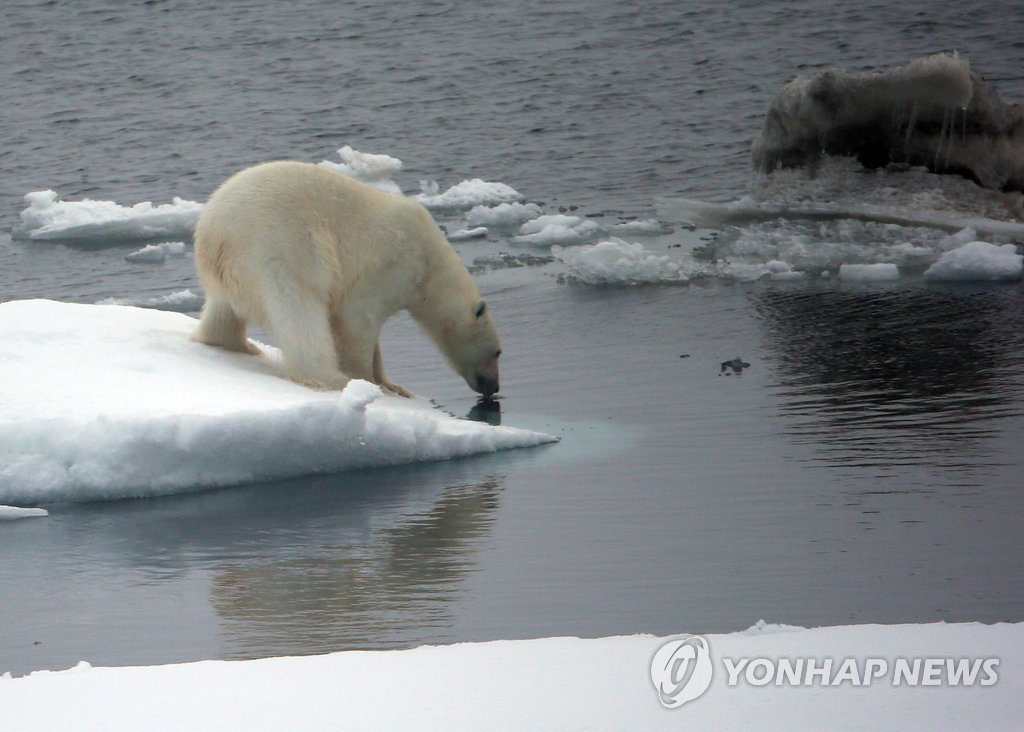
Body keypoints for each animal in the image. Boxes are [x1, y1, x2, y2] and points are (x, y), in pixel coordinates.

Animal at [193, 162, 501, 397]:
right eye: (497, 353)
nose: (493, 388)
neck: (430, 261)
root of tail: (214, 232)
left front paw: (394, 385)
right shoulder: (392, 265)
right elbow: (357, 319)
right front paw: (371, 383)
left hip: (230, 273)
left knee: (222, 312)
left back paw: (236, 344)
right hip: (280, 250)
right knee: (299, 313)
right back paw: (330, 377)